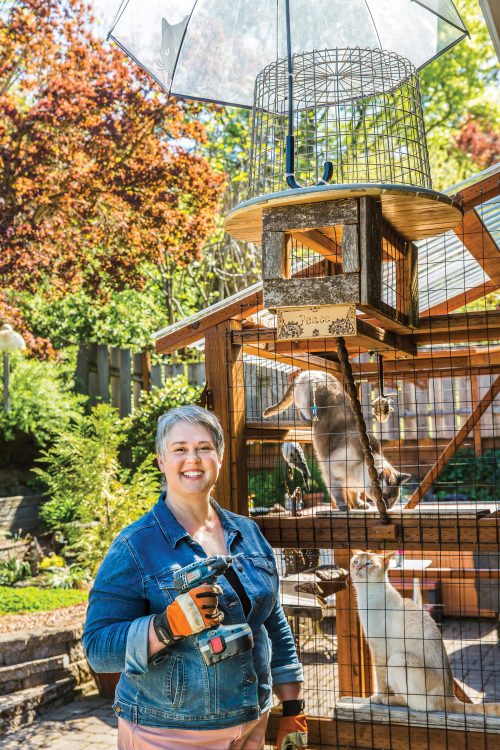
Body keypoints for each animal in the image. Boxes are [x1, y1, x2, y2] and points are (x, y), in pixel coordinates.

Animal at [262, 374, 410, 516]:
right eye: (385, 496)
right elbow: (339, 496)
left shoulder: (353, 485)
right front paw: (344, 508)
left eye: (394, 499)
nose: (389, 507)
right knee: (299, 411)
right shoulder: (334, 477)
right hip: (304, 403)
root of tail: (305, 373)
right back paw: (306, 419)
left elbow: (354, 496)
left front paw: (359, 506)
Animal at [350, 552, 500, 716]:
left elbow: (381, 679)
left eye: (368, 564)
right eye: (356, 562)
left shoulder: (379, 649)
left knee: (416, 704)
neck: (366, 596)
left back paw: (390, 700)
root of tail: (449, 697)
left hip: (398, 658)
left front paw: (378, 698)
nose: (358, 567)